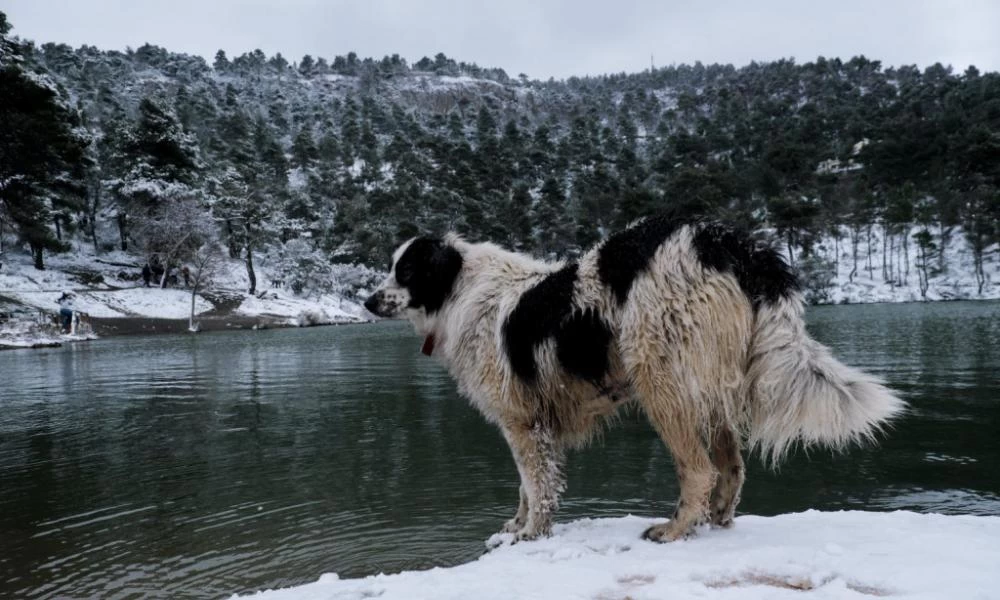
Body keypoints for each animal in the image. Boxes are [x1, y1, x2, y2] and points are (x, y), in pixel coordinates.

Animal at [368, 217, 908, 544]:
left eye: (406, 270)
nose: (370, 301)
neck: (458, 289)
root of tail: (731, 244)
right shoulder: (529, 422)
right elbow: (527, 485)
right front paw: (517, 525)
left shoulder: (520, 420)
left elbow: (537, 485)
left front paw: (529, 533)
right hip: (708, 381)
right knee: (731, 467)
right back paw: (718, 518)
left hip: (663, 379)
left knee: (700, 469)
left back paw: (675, 528)